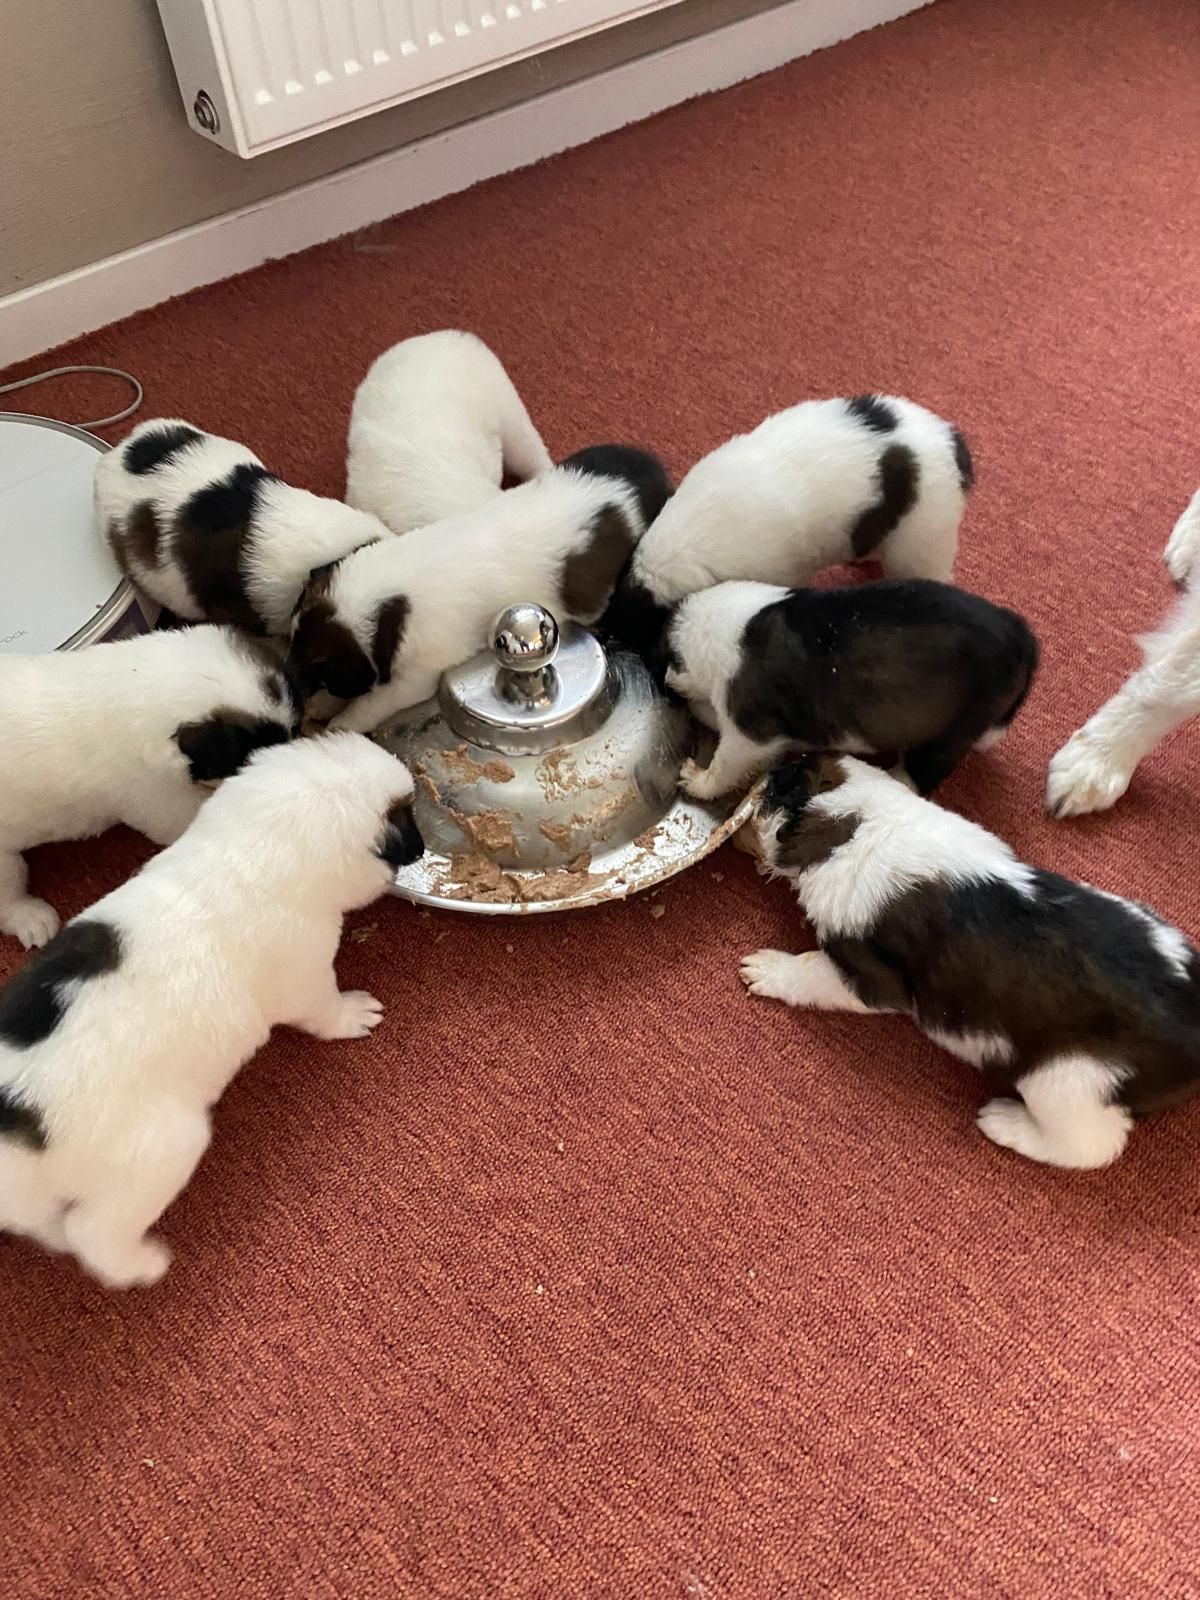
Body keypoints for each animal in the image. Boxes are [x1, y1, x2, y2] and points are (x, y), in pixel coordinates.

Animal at [0, 732, 424, 1287]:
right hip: (162, 1151)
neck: (243, 851)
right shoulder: (306, 974)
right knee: (92, 1235)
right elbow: (325, 1008)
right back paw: (144, 1264)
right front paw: (354, 1015)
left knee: (51, 1227)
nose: (423, 845)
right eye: (409, 818)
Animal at [290, 452, 667, 733]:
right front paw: (325, 703)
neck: (388, 599)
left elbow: (374, 700)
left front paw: (342, 720)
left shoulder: (415, 677)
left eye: (321, 669)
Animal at [665, 578, 1037, 800]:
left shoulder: (749, 734)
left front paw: (696, 780)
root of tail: (1022, 638)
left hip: (946, 738)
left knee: (917, 776)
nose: (668, 677)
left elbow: (722, 766)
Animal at [743, 753, 1200, 1169]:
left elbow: (811, 971)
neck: (864, 823)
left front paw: (769, 969)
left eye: (781, 787)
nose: (768, 770)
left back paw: (1005, 1122)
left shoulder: (866, 976)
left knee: (1093, 1145)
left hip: (1067, 1081)